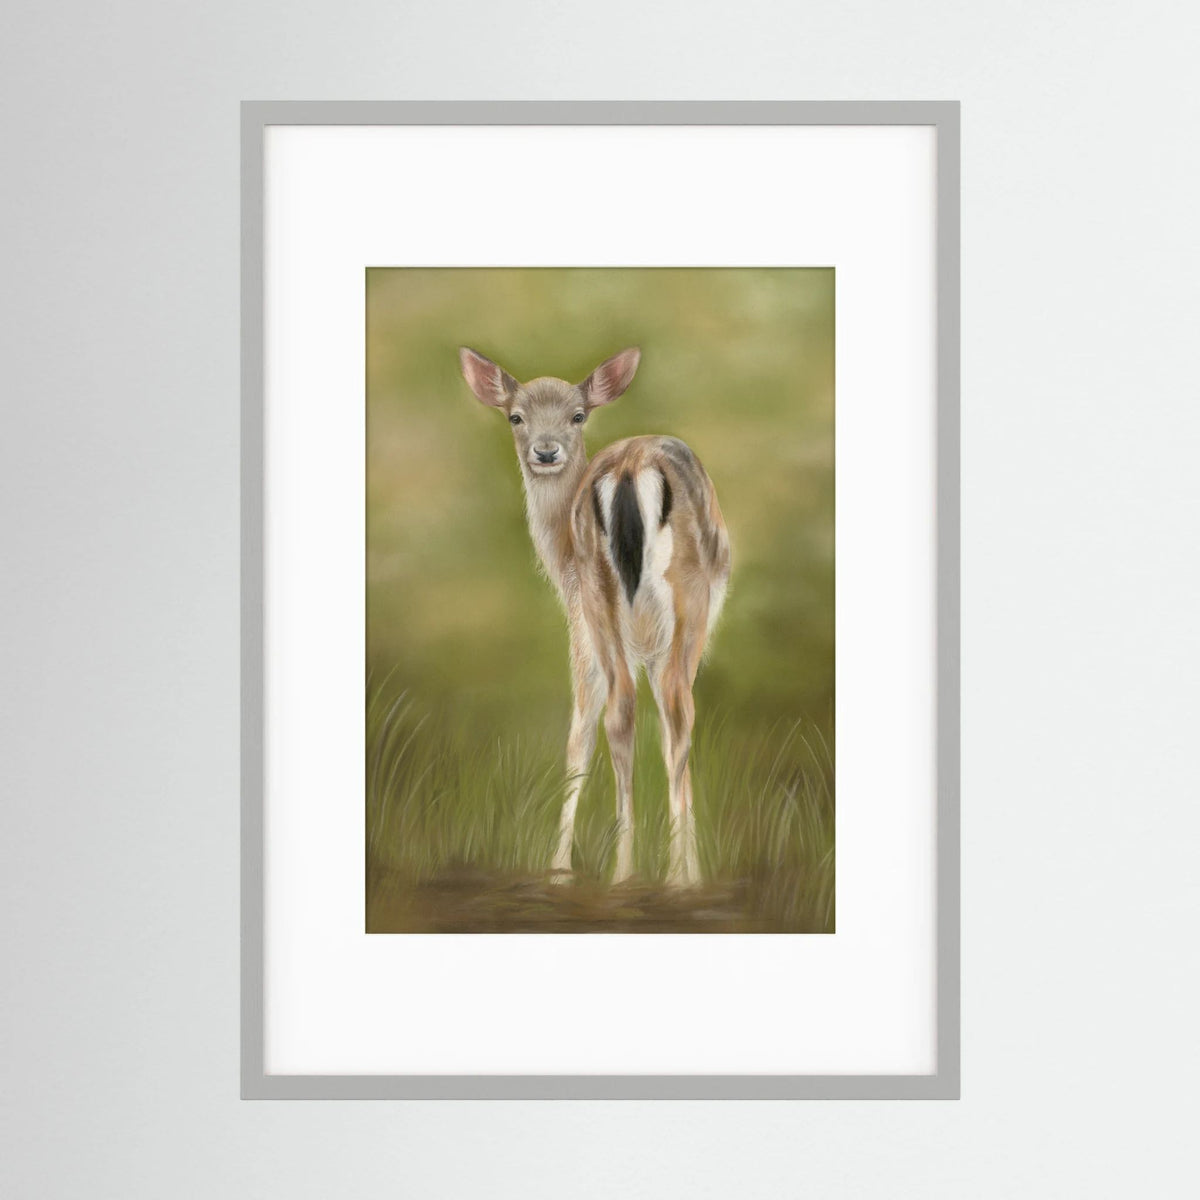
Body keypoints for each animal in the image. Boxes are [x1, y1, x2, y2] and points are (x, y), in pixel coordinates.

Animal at [459, 346, 731, 887]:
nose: (545, 452)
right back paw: (664, 877)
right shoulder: (591, 630)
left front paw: (560, 868)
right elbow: (592, 732)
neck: (558, 559)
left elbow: (586, 731)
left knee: (629, 709)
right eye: (515, 416)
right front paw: (562, 867)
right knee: (669, 710)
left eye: (577, 415)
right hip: (675, 602)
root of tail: (629, 469)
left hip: (604, 596)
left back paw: (629, 872)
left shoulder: (591, 624)